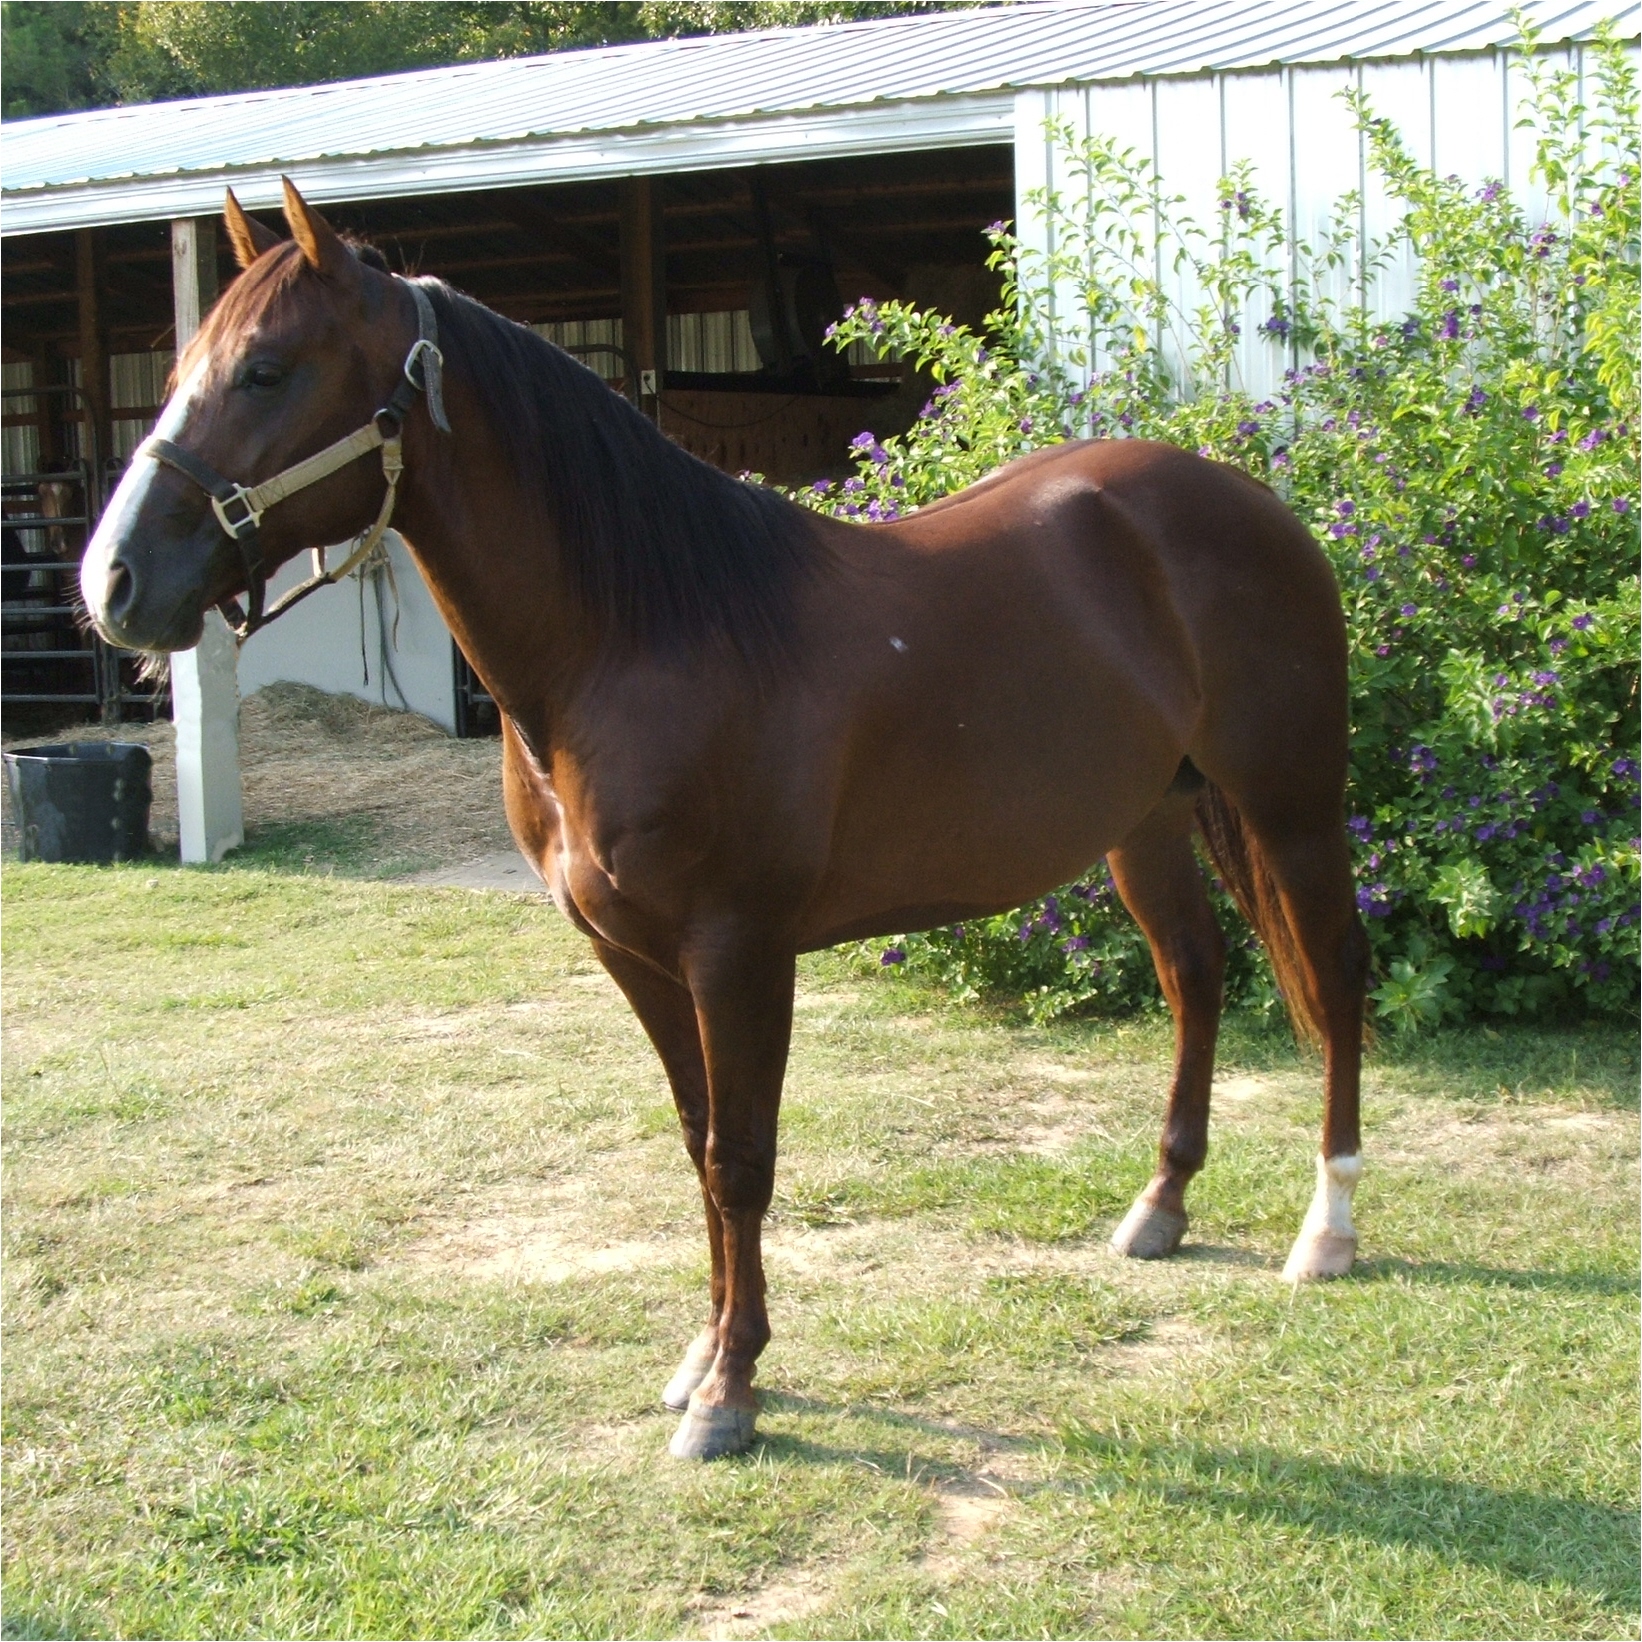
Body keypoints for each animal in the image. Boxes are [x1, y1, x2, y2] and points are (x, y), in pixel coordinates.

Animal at [81, 181, 1370, 1461]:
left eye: (265, 370)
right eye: (181, 366)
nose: (112, 583)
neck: (641, 636)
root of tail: (1251, 502)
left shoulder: (739, 951)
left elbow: (739, 1159)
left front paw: (733, 1390)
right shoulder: (634, 954)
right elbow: (696, 1145)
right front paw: (700, 1354)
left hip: (1292, 805)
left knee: (1333, 974)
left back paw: (1329, 1225)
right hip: (1146, 819)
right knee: (1194, 975)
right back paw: (1161, 1205)